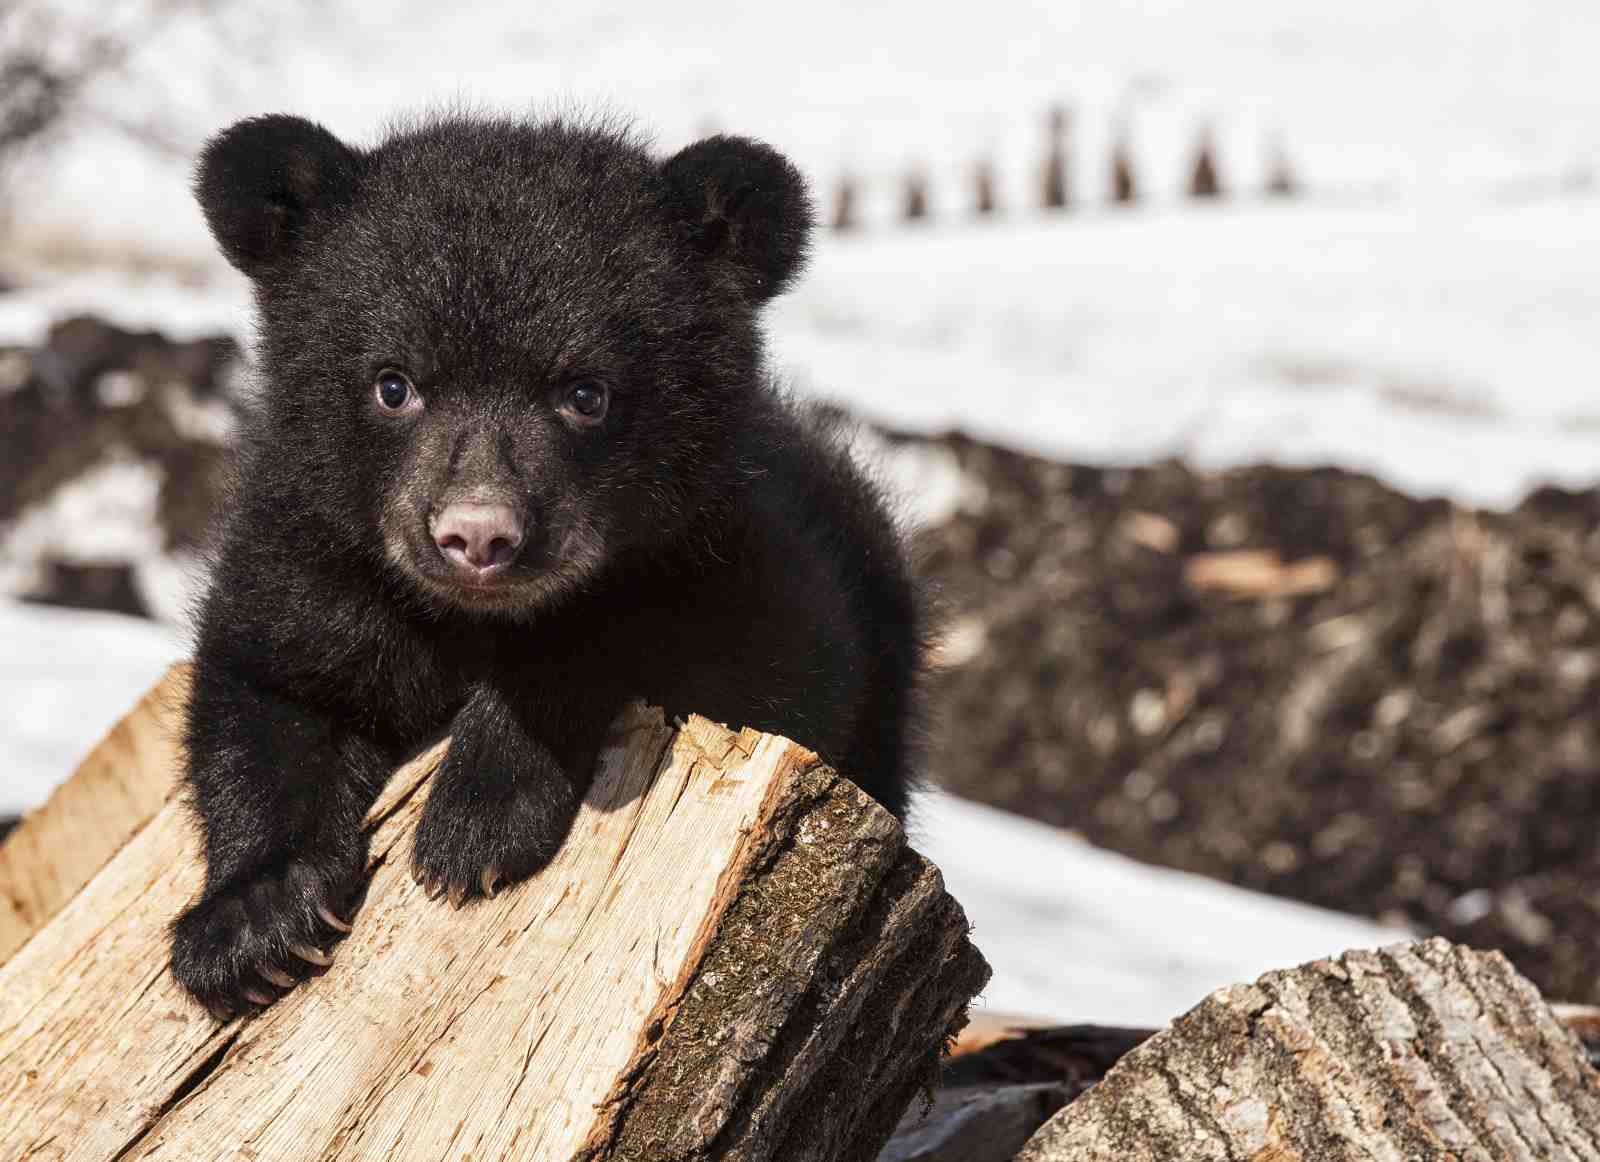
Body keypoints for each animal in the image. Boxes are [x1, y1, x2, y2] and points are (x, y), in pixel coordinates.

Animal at [167, 111, 925, 1017]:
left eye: (585, 393)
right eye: (393, 385)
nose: (478, 536)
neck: (466, 619)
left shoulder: (749, 572)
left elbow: (708, 659)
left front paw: (477, 820)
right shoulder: (310, 556)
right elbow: (266, 690)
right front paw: (254, 926)